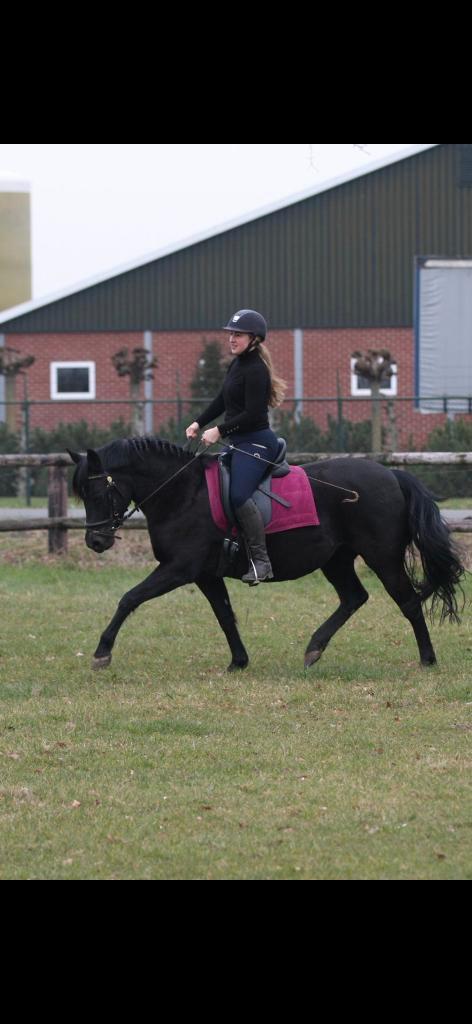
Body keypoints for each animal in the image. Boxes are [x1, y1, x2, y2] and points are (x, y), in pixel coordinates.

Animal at [69, 437, 465, 672]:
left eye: (97, 492)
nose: (96, 542)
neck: (182, 492)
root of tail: (393, 475)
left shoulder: (179, 568)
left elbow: (129, 598)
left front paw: (102, 652)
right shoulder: (206, 575)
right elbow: (225, 616)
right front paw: (239, 662)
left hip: (382, 557)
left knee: (407, 602)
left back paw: (427, 659)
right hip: (336, 559)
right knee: (354, 597)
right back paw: (314, 649)